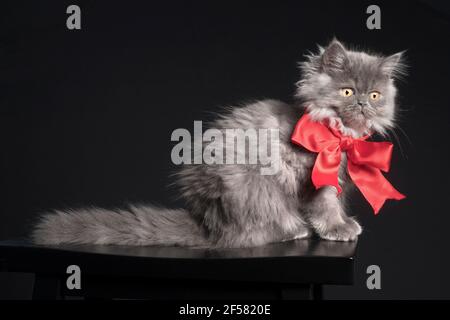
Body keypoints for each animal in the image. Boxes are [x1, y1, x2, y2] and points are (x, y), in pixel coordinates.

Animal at [30, 39, 404, 248]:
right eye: (347, 91)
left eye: (375, 95)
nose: (363, 103)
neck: (339, 134)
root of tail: (208, 224)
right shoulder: (314, 181)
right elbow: (326, 207)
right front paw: (340, 229)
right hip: (253, 189)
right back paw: (293, 231)